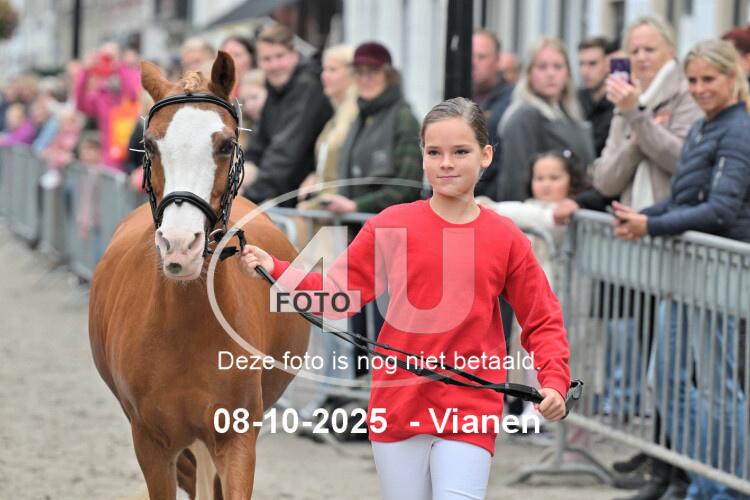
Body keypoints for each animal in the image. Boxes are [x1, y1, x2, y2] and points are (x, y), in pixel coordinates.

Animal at [88, 52, 309, 499]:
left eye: (225, 145)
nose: (179, 246)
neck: (186, 327)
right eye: (150, 144)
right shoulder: (152, 445)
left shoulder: (236, 438)